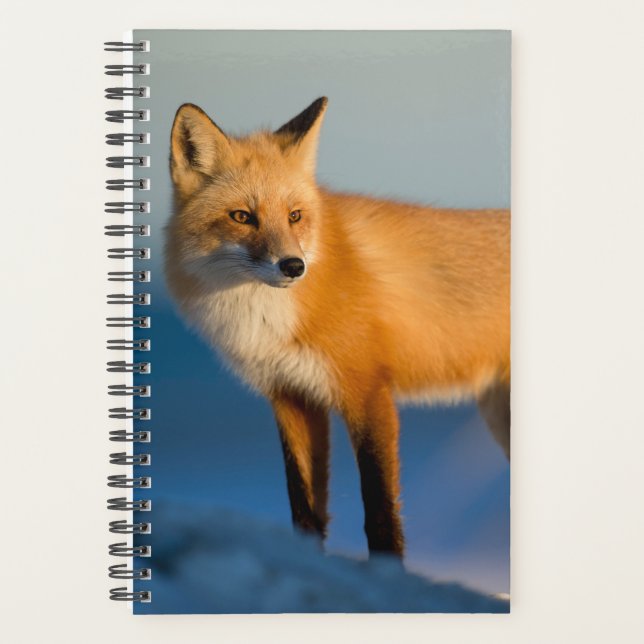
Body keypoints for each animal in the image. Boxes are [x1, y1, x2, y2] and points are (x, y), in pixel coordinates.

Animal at [165, 97, 510, 557]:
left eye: (294, 216)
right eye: (242, 217)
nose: (294, 266)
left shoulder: (367, 390)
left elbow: (380, 510)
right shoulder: (291, 396)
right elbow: (304, 507)